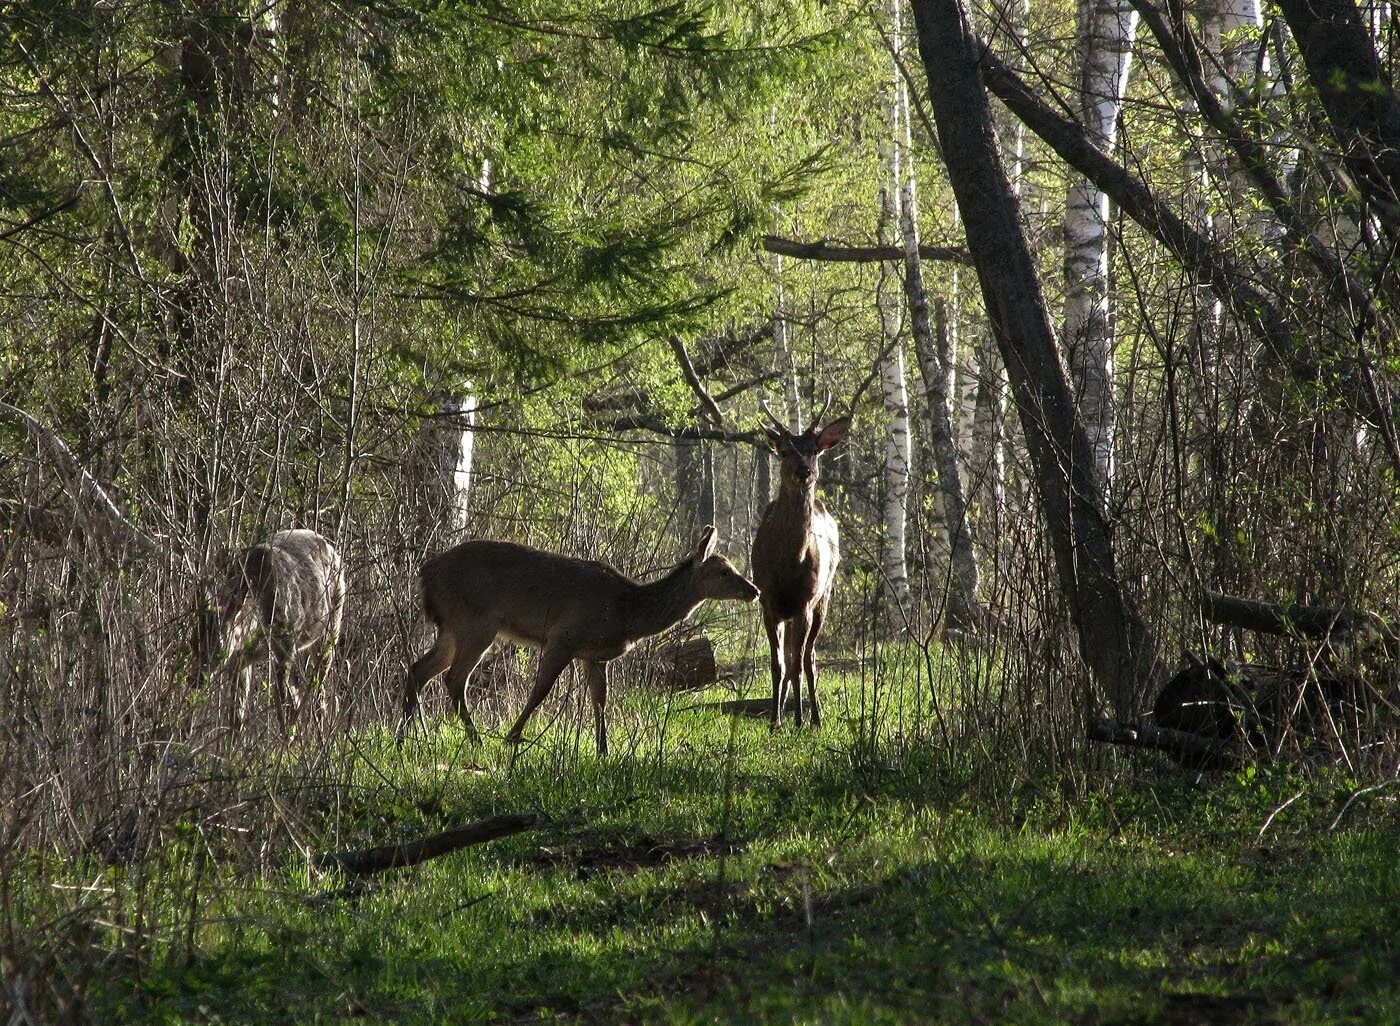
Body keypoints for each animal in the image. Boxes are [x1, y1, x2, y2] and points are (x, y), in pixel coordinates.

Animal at [198, 529, 345, 727]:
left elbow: (282, 707)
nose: (195, 679)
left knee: (317, 692)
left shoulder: (285, 646)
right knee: (300, 695)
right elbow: (236, 715)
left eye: (218, 645)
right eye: (192, 642)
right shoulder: (240, 660)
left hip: (331, 626)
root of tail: (332, 549)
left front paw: (287, 736)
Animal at [400, 529, 761, 750]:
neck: (626, 613)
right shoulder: (564, 636)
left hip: (452, 628)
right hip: (476, 621)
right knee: (453, 678)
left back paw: (406, 738)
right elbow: (540, 691)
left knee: (419, 669)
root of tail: (425, 575)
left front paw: (604, 750)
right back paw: (474, 740)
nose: (754, 590)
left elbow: (599, 700)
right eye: (723, 571)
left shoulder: (593, 654)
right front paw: (513, 737)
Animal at [750, 397, 845, 727]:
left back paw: (814, 718)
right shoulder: (768, 602)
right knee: (793, 657)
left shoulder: (804, 602)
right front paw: (774, 722)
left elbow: (796, 665)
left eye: (814, 450)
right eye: (785, 450)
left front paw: (798, 720)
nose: (804, 470)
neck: (787, 565)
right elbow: (777, 664)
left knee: (808, 658)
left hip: (823, 598)